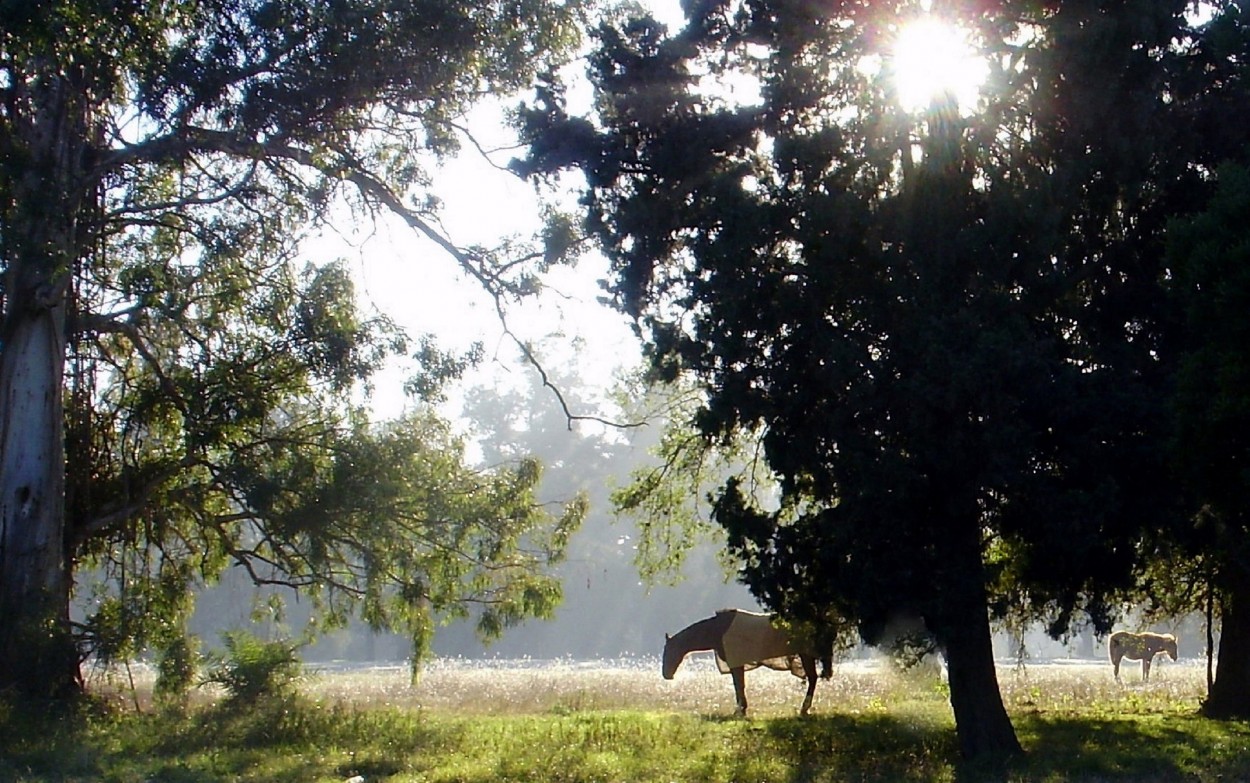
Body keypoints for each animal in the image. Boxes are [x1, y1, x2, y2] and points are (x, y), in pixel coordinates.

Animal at [665, 607, 830, 715]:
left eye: (668, 651)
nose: (666, 675)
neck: (717, 630)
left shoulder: (735, 662)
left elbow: (738, 685)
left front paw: (740, 709)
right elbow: (739, 685)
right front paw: (742, 708)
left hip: (806, 655)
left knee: (812, 678)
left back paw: (804, 708)